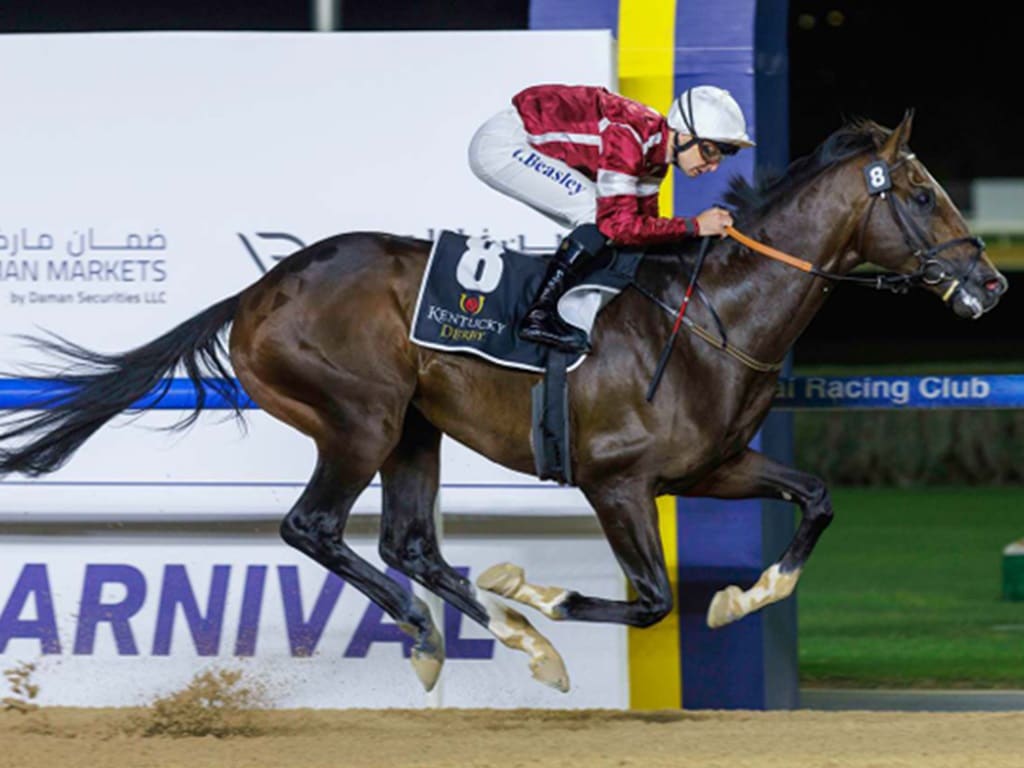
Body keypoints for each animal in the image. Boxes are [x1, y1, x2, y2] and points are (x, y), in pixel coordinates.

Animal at [0, 112, 1007, 692]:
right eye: (922, 193)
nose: (991, 283)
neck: (712, 313)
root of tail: (260, 290)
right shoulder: (616, 481)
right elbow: (649, 600)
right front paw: (548, 594)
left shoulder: (713, 467)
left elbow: (818, 500)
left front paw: (746, 595)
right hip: (360, 419)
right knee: (314, 527)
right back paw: (443, 629)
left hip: (414, 427)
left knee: (410, 542)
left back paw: (507, 639)